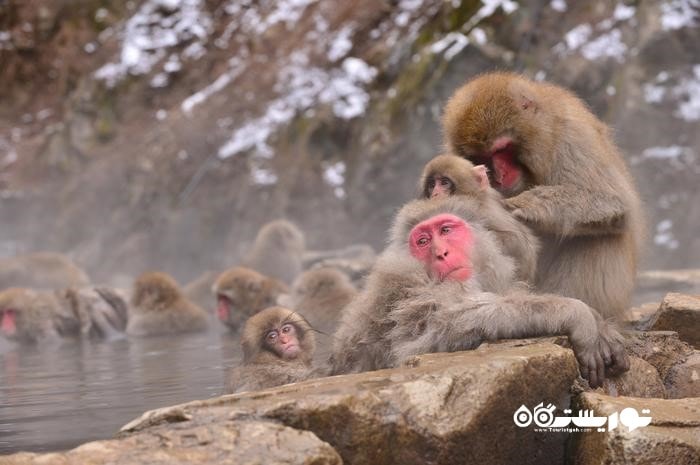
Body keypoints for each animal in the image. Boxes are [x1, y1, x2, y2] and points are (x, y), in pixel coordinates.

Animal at [330, 197, 632, 388]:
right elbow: (438, 329)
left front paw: (602, 326)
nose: (441, 253)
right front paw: (579, 315)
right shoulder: (402, 290)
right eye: (423, 241)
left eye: (446, 230)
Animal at [442, 70, 644, 320]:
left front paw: (522, 206)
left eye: (502, 150)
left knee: (601, 234)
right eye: (482, 158)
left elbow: (609, 200)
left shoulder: (572, 135)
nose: (499, 175)